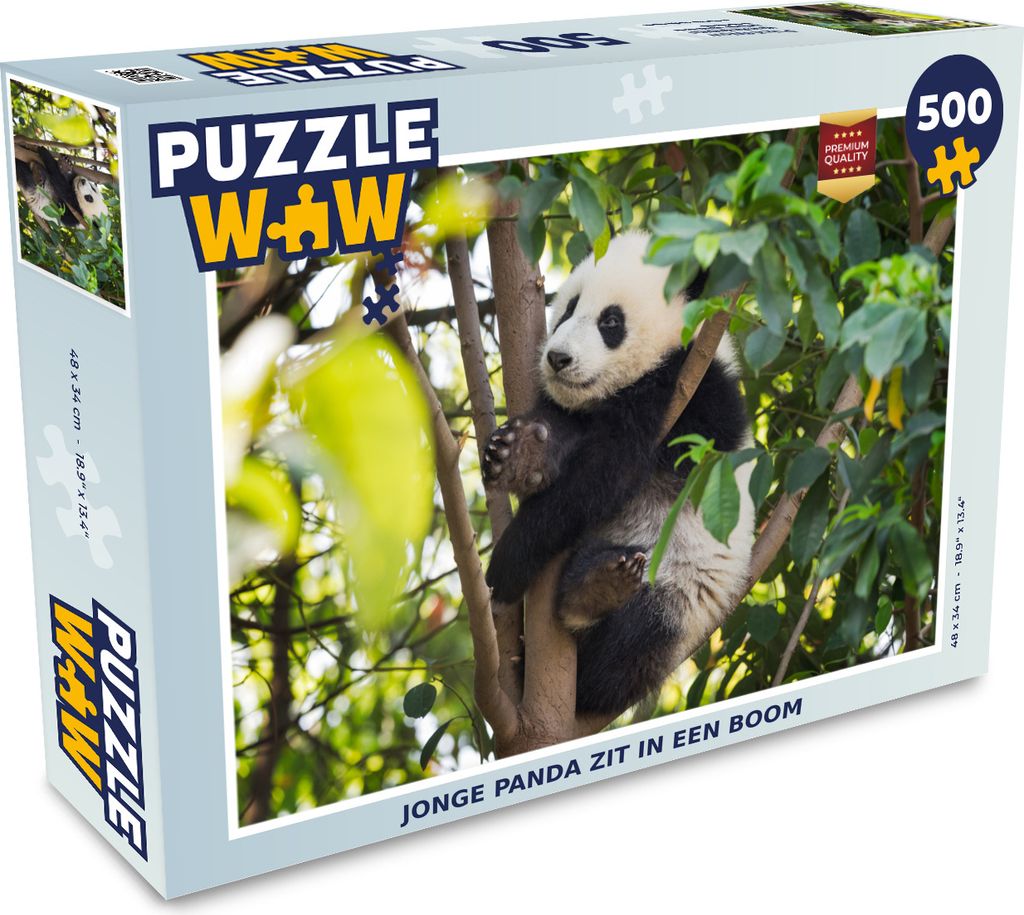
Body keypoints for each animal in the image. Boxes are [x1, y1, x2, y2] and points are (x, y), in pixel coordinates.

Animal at [482, 231, 755, 718]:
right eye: (569, 308)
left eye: (611, 322)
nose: (558, 358)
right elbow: (569, 430)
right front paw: (521, 454)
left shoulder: (686, 393)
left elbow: (602, 477)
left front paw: (508, 563)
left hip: (682, 589)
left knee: (628, 647)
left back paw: (593, 594)